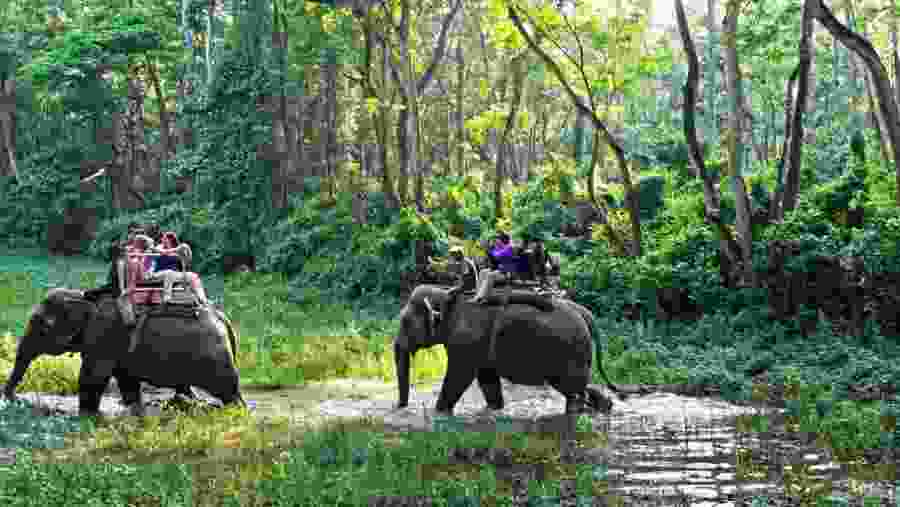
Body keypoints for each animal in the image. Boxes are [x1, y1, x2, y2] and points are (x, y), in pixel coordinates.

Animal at [3, 288, 245, 416]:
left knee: (227, 390)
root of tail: (223, 318)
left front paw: (87, 415)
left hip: (215, 358)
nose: (12, 399)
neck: (83, 298)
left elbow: (93, 376)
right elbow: (126, 379)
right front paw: (132, 409)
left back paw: (236, 411)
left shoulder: (103, 334)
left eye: (42, 325)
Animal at [393, 284, 625, 416]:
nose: (401, 407)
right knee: (578, 388)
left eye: (405, 322)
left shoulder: (466, 341)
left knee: (573, 389)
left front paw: (439, 413)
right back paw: (604, 407)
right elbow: (486, 378)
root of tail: (584, 313)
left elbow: (459, 376)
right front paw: (493, 410)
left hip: (570, 351)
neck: (448, 297)